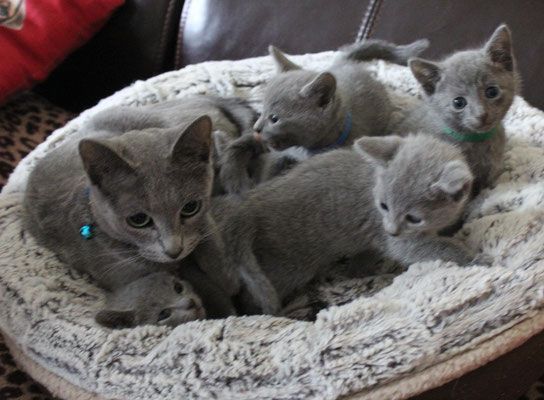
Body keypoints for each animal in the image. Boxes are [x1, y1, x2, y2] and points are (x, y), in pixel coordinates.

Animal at [221, 134, 476, 316]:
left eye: (413, 218)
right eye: (383, 206)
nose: (391, 230)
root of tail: (251, 202)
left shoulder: (374, 241)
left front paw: (359, 269)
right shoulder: (396, 240)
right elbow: (433, 248)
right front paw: (475, 258)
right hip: (285, 266)